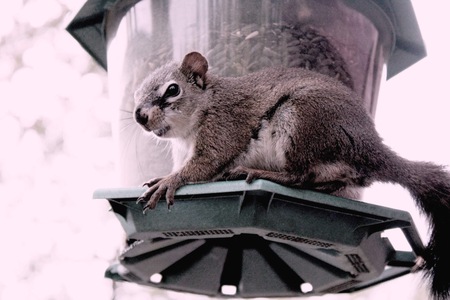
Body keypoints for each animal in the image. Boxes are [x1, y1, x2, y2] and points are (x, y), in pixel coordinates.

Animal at [134, 51, 450, 298]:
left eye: (172, 90)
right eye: (136, 93)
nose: (139, 116)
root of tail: (369, 147)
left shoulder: (225, 126)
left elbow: (205, 164)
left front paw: (169, 182)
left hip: (300, 120)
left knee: (299, 175)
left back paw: (257, 171)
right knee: (321, 181)